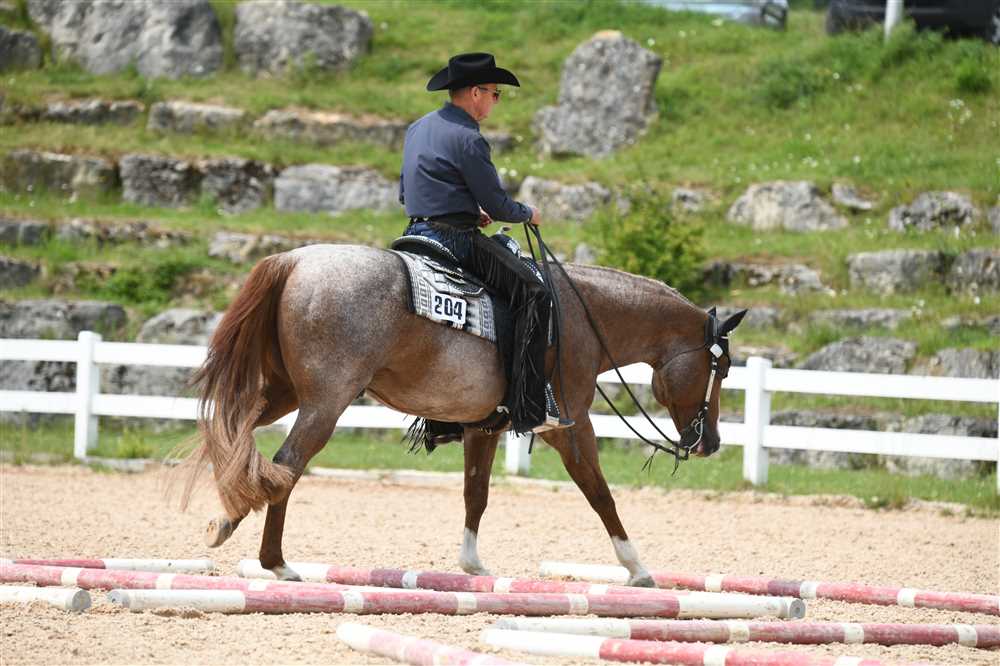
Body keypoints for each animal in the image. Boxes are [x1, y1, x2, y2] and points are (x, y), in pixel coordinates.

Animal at [178, 242, 747, 586]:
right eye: (721, 369)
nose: (711, 442)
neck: (581, 316)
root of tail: (295, 260)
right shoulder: (572, 425)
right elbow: (599, 492)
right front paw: (637, 568)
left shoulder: (483, 426)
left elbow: (477, 492)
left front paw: (471, 564)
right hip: (324, 402)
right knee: (286, 464)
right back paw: (276, 563)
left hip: (283, 392)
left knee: (237, 437)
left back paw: (226, 520)